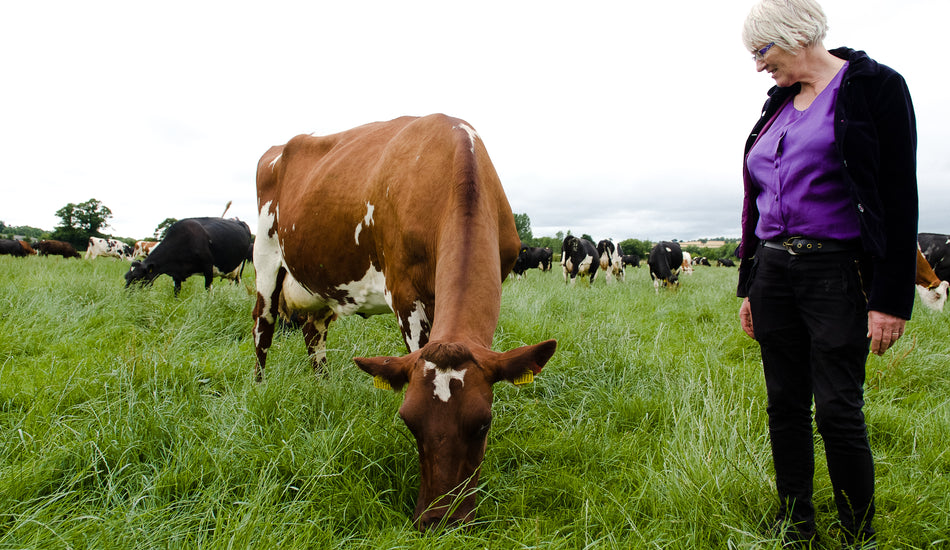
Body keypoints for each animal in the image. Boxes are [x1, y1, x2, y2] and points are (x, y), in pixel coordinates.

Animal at [125, 217, 253, 298]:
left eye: (137, 278)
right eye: (126, 277)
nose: (127, 297)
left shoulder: (208, 267)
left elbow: (208, 289)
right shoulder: (176, 273)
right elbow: (176, 291)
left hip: (240, 266)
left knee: (238, 282)